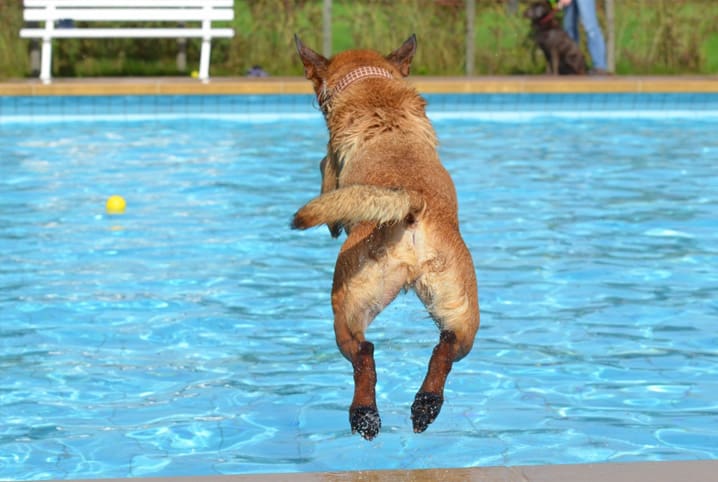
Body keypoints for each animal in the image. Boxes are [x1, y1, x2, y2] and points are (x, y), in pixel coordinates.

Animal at [292, 34, 484, 440]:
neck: (372, 85)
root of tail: (411, 206)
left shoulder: (329, 170)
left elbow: (324, 173)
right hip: (461, 311)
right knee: (446, 348)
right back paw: (425, 406)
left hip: (347, 304)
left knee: (364, 354)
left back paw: (365, 415)